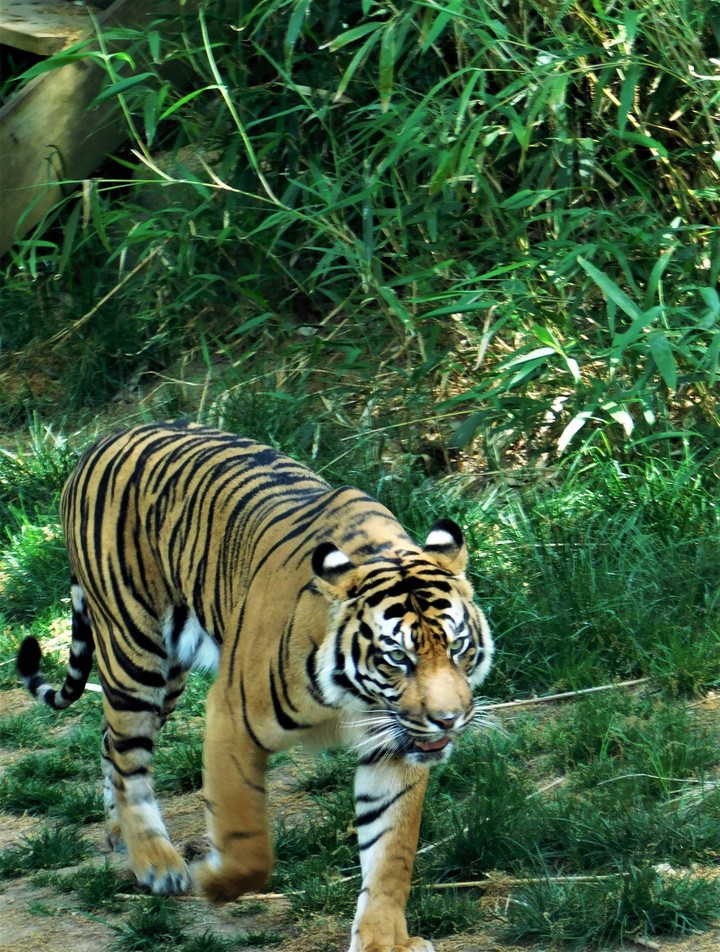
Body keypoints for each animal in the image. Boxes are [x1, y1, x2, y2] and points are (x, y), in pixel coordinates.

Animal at [17, 420, 493, 952]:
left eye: (457, 646)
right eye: (397, 658)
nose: (448, 720)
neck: (354, 698)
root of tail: (100, 441)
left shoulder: (393, 744)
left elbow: (391, 852)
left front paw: (384, 940)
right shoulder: (232, 717)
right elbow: (246, 838)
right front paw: (217, 883)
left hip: (168, 678)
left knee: (109, 740)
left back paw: (119, 830)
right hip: (135, 653)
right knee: (128, 758)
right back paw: (156, 862)